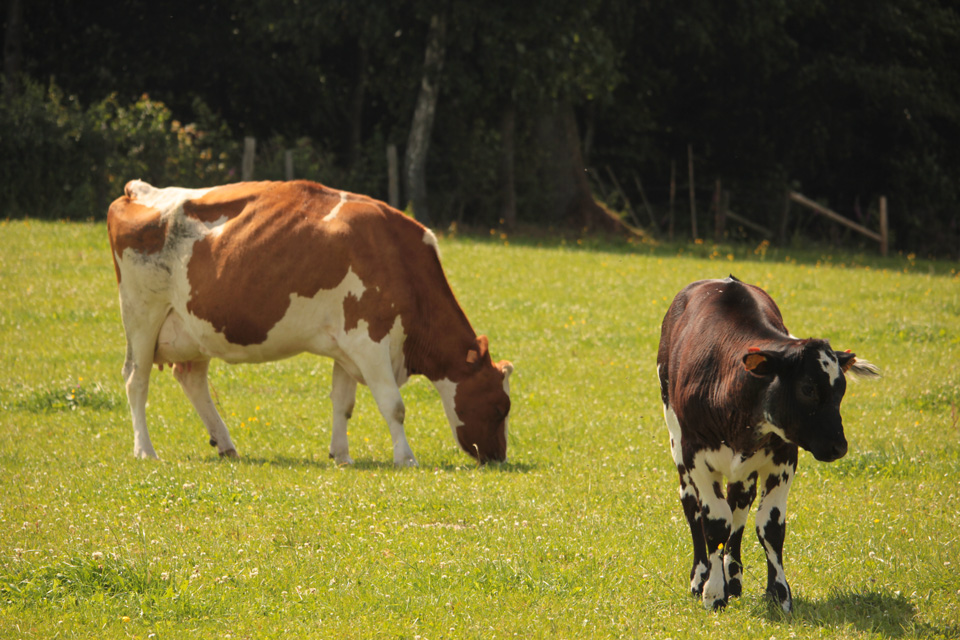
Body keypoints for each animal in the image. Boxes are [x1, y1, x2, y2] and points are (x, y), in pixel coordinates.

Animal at [107, 179, 513, 466]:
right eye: (500, 408)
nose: (498, 457)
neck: (399, 258)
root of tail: (138, 190)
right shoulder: (369, 340)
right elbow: (393, 405)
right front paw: (406, 458)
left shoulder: (347, 345)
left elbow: (343, 403)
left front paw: (342, 455)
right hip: (141, 314)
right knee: (135, 380)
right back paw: (145, 450)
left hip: (194, 327)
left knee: (191, 379)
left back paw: (226, 444)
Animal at [656, 276, 879, 612]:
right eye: (807, 388)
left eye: (841, 390)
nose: (839, 447)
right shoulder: (696, 455)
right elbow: (714, 522)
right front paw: (713, 593)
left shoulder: (784, 456)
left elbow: (770, 526)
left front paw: (778, 592)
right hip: (677, 442)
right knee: (692, 505)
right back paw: (701, 577)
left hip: (744, 471)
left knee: (738, 508)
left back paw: (734, 578)